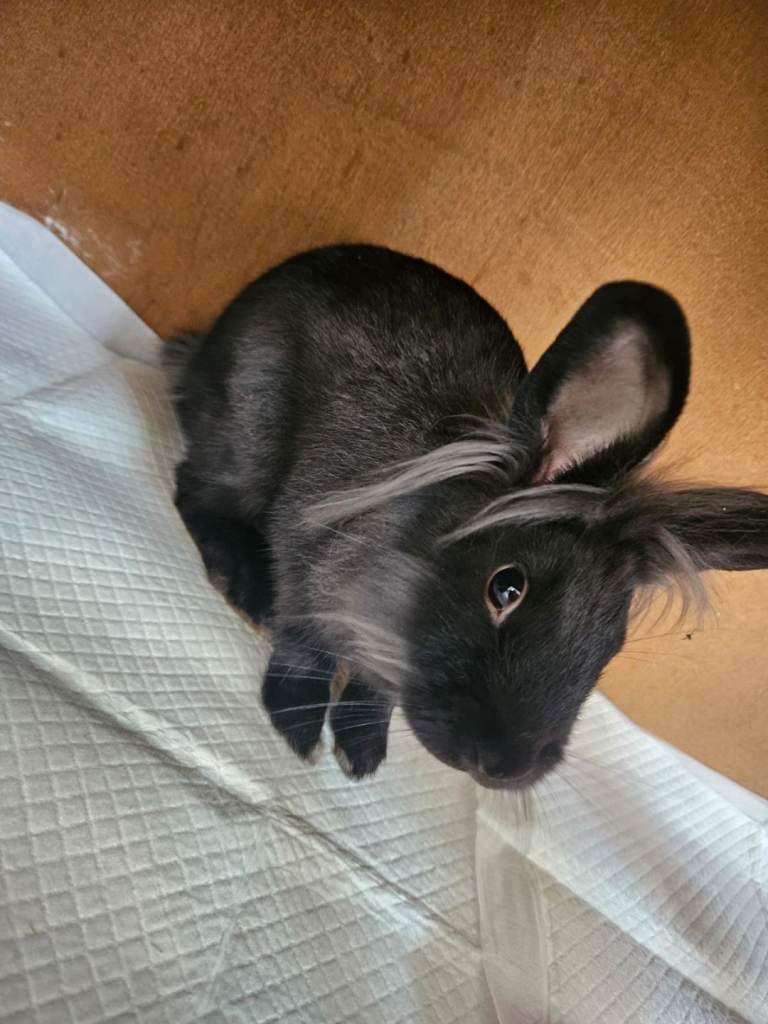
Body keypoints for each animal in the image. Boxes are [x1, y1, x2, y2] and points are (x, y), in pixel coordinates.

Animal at [167, 244, 768, 788]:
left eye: (612, 640)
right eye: (505, 588)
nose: (504, 768)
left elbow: (372, 691)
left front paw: (361, 752)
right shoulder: (308, 567)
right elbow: (304, 647)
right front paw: (295, 724)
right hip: (248, 426)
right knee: (196, 489)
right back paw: (245, 585)